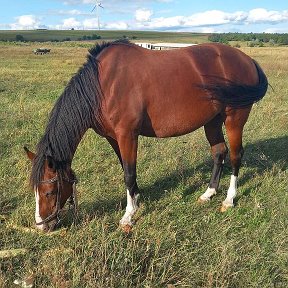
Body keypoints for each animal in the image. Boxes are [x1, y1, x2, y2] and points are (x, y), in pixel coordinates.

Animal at [24, 39, 268, 232]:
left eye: (49, 191)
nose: (42, 226)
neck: (103, 86)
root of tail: (247, 60)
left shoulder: (127, 135)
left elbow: (129, 173)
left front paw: (128, 216)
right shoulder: (113, 137)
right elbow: (126, 169)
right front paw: (136, 199)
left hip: (234, 118)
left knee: (235, 156)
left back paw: (229, 199)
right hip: (212, 121)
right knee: (219, 152)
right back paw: (208, 193)